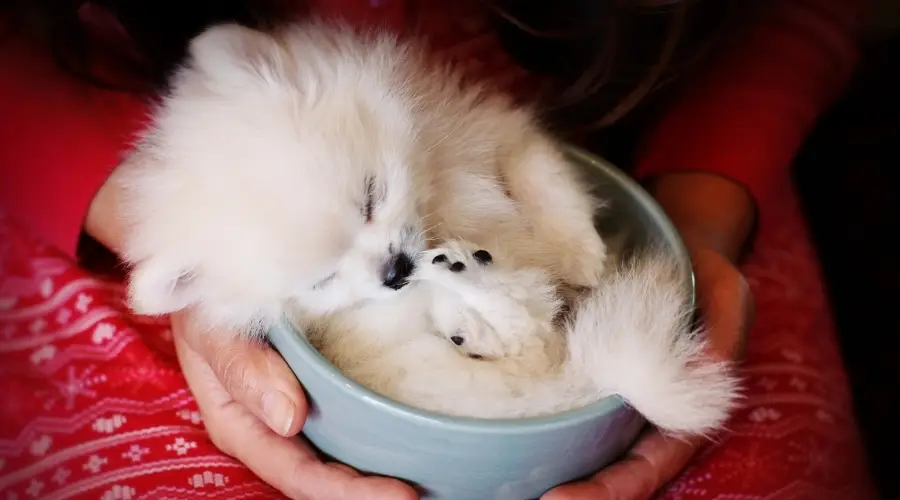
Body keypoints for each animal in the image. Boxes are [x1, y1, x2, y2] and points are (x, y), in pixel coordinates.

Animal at [112, 20, 604, 332]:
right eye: (323, 281)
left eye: (372, 196)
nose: (395, 270)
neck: (439, 198)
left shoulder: (497, 132)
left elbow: (541, 177)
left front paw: (576, 253)